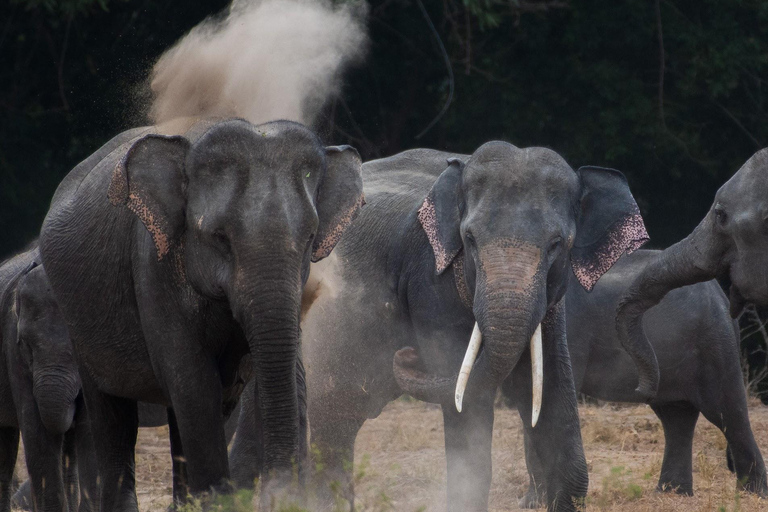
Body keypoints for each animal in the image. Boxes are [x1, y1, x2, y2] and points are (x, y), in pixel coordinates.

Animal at [38, 118, 364, 510]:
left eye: (311, 237)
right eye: (220, 237)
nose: (277, 494)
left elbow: (271, 375)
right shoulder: (152, 267)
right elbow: (193, 382)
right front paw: (221, 502)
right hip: (78, 317)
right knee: (113, 415)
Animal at [226, 143, 650, 511]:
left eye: (557, 244)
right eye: (470, 240)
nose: (406, 354)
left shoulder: (552, 304)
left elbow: (546, 392)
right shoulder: (431, 277)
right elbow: (468, 405)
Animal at [511, 249, 767, 508]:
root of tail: (723, 299)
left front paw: (534, 504)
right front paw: (530, 504)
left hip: (713, 346)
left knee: (727, 412)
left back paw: (751, 494)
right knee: (676, 416)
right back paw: (671, 493)